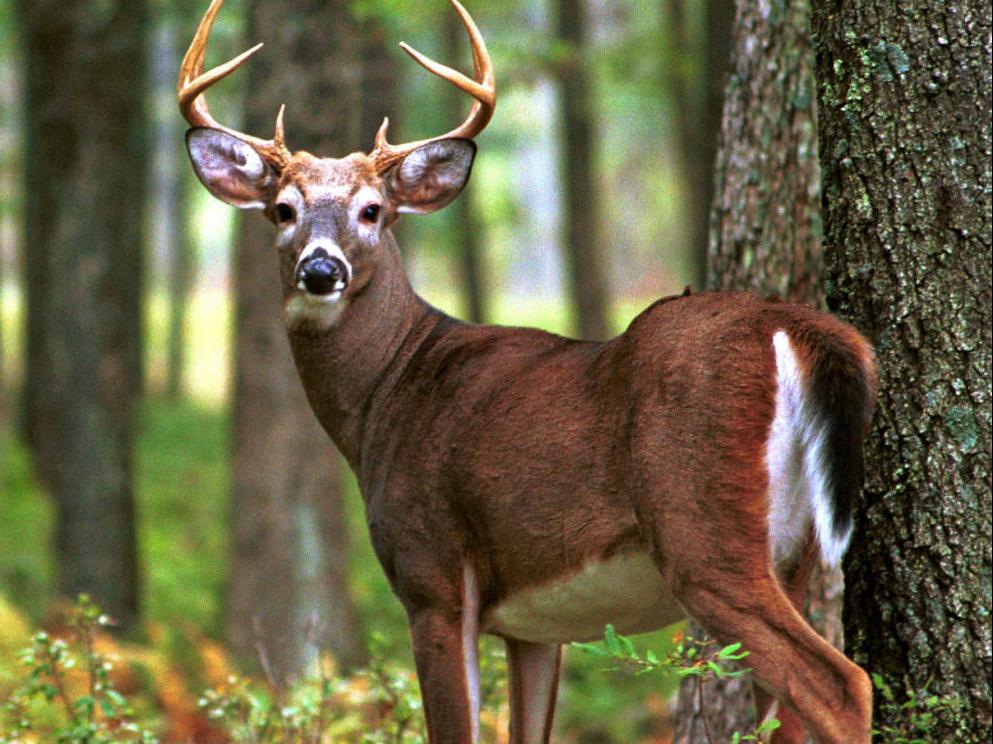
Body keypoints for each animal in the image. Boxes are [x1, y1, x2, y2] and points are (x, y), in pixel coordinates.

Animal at [178, 1, 876, 741]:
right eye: (283, 209)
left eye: (373, 210)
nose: (320, 269)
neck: (386, 395)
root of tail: (799, 328)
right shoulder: (534, 626)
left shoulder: (431, 573)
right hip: (795, 553)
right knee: (791, 707)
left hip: (704, 528)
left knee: (839, 682)